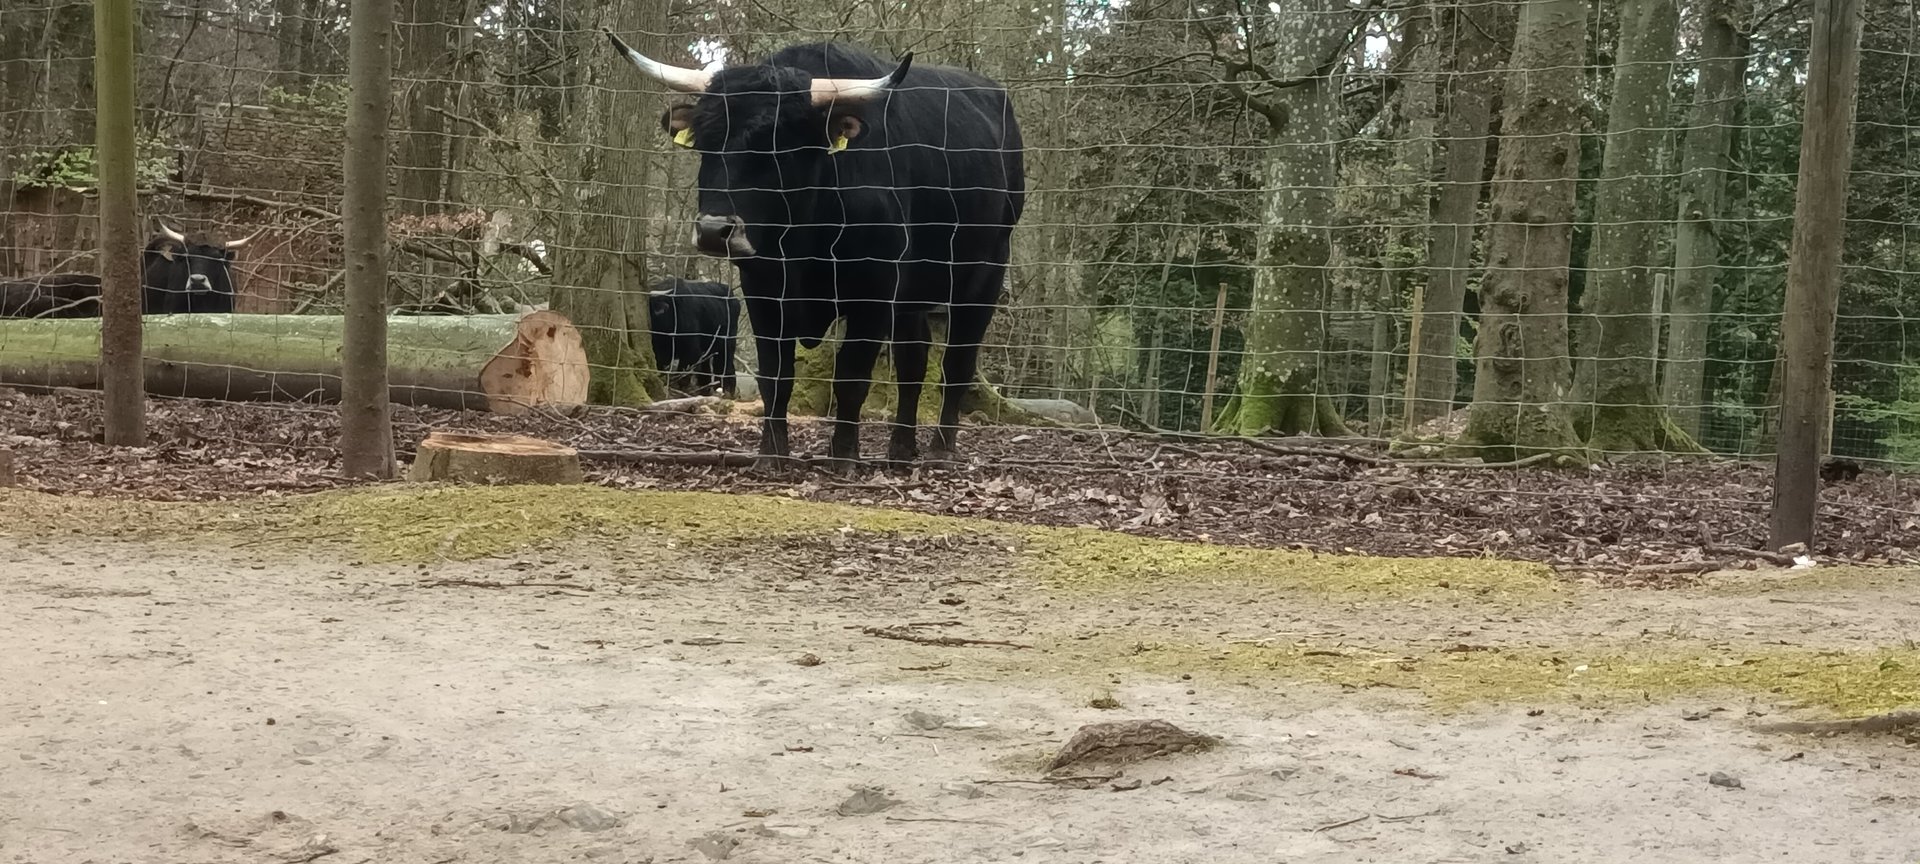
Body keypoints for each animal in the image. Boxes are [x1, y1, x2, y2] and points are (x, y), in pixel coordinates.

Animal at [605, 30, 1025, 472]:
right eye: (705, 143)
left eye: (777, 148)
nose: (714, 231)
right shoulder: (763, 289)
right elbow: (776, 375)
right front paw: (771, 453)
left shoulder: (873, 289)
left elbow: (852, 375)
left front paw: (844, 455)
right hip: (911, 296)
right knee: (913, 360)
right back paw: (899, 449)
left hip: (984, 275)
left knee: (957, 361)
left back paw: (941, 449)